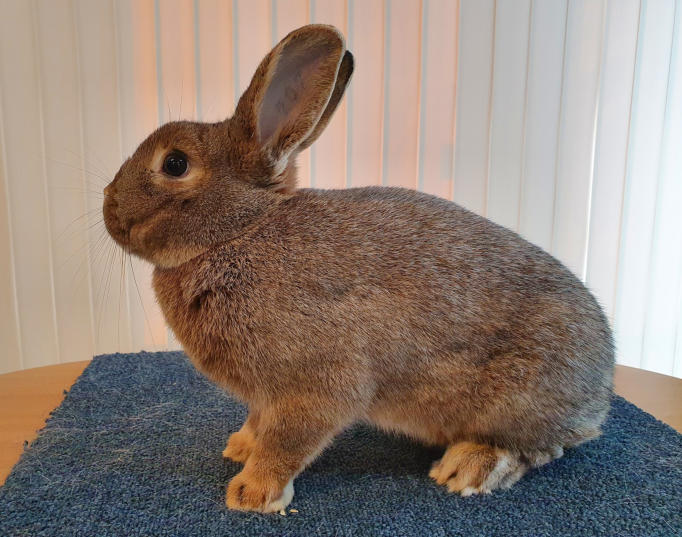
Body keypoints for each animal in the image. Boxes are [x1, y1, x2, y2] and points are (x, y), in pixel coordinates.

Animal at [103, 24, 614, 513]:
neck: (238, 232)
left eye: (175, 163)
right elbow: (259, 423)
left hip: (517, 400)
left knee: (539, 448)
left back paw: (469, 467)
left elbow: (288, 440)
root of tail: (601, 388)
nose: (108, 209)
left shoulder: (318, 383)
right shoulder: (266, 397)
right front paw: (240, 448)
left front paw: (252, 493)